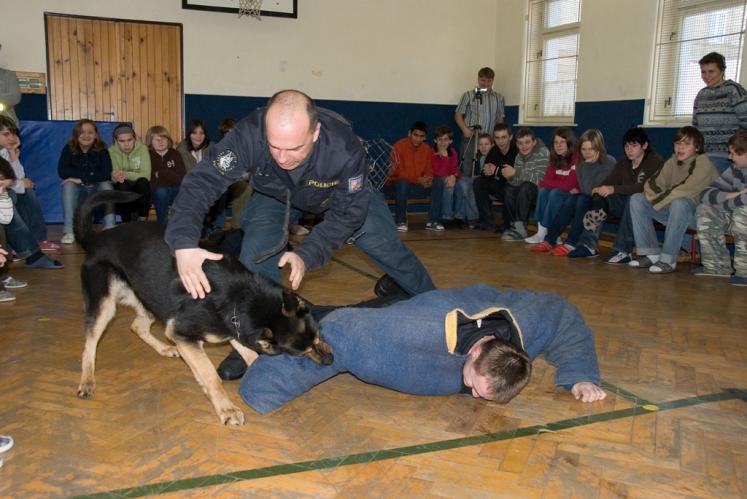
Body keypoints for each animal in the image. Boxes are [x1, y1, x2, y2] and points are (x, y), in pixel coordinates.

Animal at [76, 191, 334, 426]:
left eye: (318, 336)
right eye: (302, 352)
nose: (331, 360)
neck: (243, 296)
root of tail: (96, 238)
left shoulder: (232, 330)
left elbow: (251, 356)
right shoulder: (184, 334)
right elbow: (211, 376)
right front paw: (227, 409)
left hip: (153, 300)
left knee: (136, 326)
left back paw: (164, 349)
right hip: (106, 306)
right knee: (90, 344)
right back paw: (87, 381)